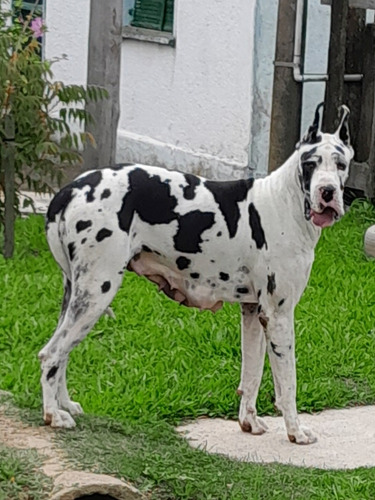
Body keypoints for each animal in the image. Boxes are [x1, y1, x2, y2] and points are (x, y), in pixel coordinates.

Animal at [39, 103, 354, 444]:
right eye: (310, 163)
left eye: (340, 163)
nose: (327, 191)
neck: (286, 202)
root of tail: (69, 190)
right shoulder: (280, 316)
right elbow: (288, 384)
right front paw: (295, 431)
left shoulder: (255, 312)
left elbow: (252, 374)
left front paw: (249, 422)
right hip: (97, 292)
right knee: (51, 354)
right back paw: (54, 414)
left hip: (77, 296)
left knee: (62, 352)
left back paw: (65, 404)